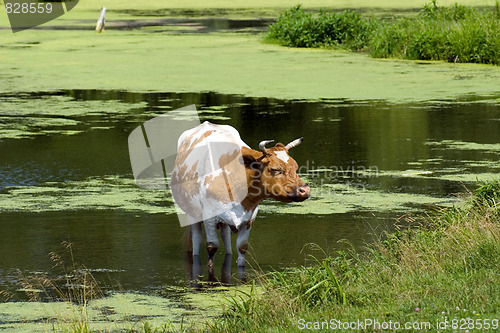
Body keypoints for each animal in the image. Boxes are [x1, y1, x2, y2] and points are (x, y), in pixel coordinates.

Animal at [171, 121, 308, 268]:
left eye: (296, 167)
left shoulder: (250, 218)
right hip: (192, 214)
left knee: (225, 237)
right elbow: (212, 247)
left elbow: (242, 247)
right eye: (275, 169)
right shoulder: (209, 218)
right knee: (196, 239)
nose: (305, 190)